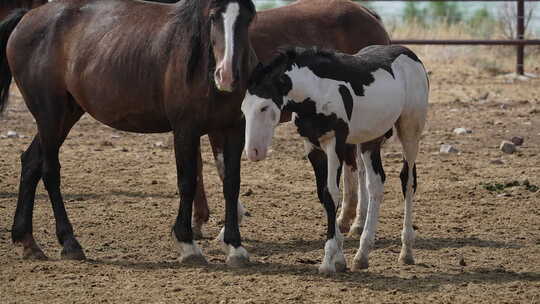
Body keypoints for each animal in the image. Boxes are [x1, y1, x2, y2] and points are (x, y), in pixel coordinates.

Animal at [0, 0, 258, 266]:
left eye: (249, 18)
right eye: (213, 17)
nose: (226, 75)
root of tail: (27, 17)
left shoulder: (233, 129)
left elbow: (231, 183)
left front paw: (235, 247)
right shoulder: (185, 129)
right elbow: (187, 181)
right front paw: (188, 245)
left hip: (66, 114)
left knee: (31, 162)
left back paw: (28, 242)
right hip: (50, 114)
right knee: (50, 170)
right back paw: (70, 243)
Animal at [243, 45, 428, 276]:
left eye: (264, 107)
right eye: (243, 109)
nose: (253, 152)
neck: (317, 90)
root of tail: (411, 55)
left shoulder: (335, 145)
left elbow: (331, 194)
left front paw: (328, 261)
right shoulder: (313, 148)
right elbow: (323, 195)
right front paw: (340, 259)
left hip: (410, 133)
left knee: (408, 181)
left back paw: (406, 251)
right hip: (370, 141)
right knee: (376, 185)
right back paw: (362, 254)